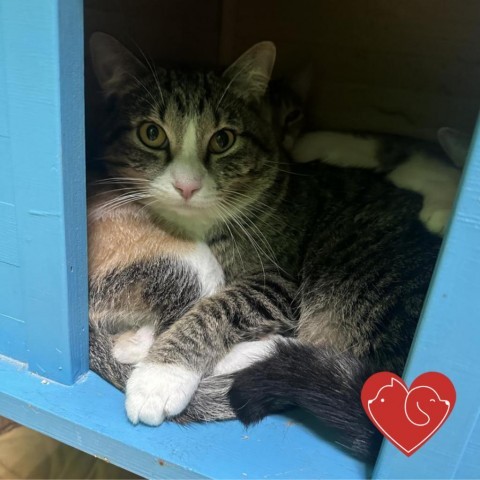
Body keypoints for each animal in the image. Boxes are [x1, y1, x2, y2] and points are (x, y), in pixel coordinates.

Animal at [88, 31, 440, 460]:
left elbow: (218, 309)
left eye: (222, 140)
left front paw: (160, 377)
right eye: (151, 134)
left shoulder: (280, 279)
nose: (187, 186)